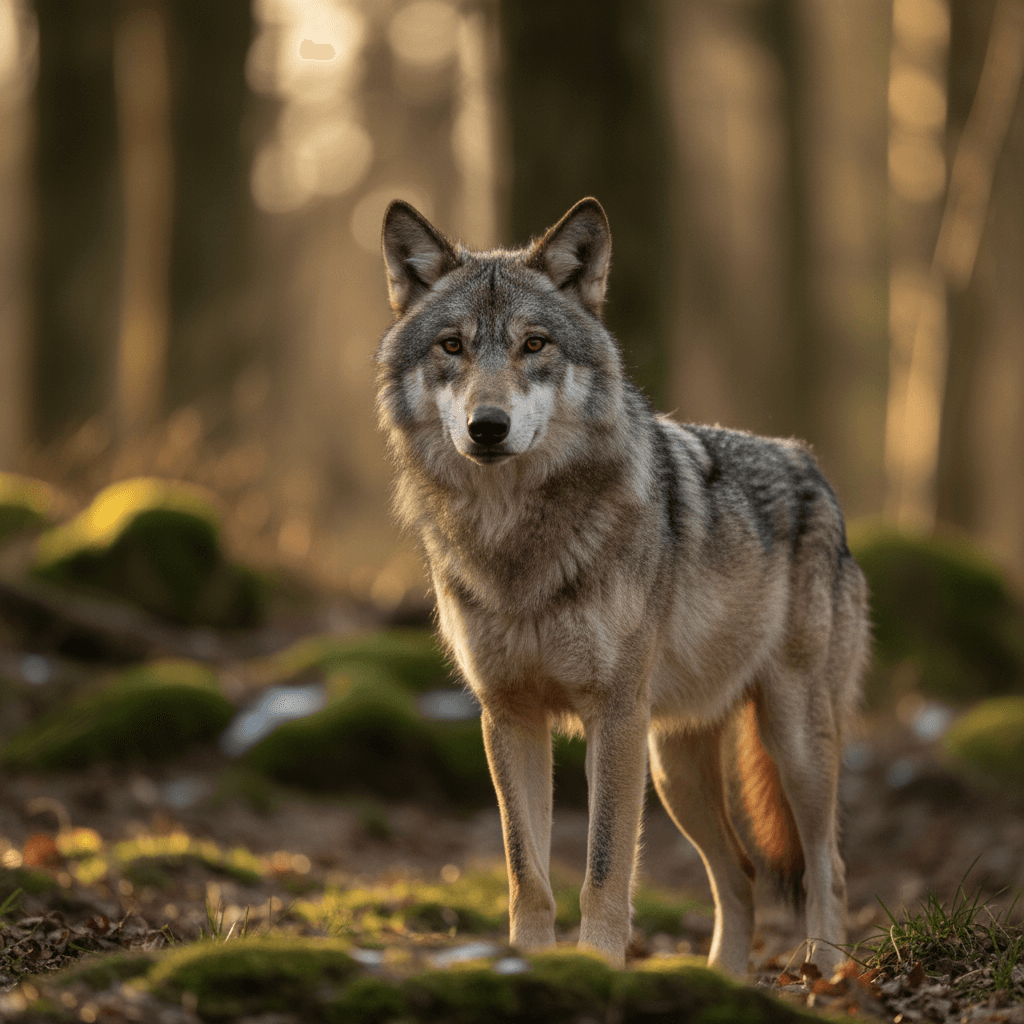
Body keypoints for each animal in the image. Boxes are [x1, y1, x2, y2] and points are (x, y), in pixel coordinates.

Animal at [374, 197, 870, 977]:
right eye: (452, 347)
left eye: (535, 345)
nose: (489, 427)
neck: (516, 541)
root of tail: (811, 466)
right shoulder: (508, 715)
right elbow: (527, 873)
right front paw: (530, 964)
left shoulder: (612, 715)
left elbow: (604, 869)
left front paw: (598, 967)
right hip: (672, 768)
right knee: (741, 875)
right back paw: (726, 980)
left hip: (788, 742)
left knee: (828, 865)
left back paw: (827, 973)